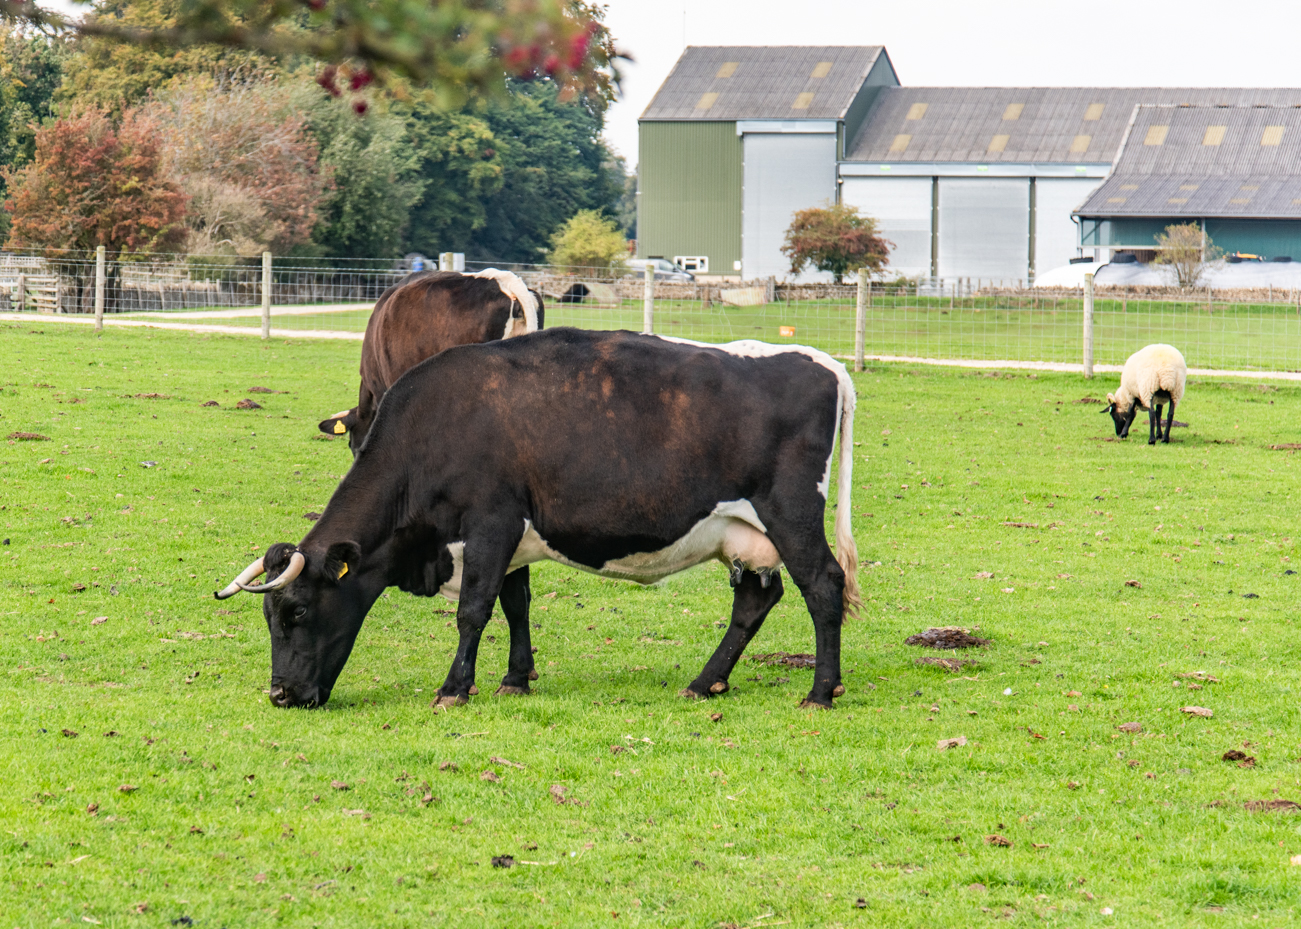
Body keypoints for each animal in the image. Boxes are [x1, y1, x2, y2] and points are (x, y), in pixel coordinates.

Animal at [217, 328, 861, 711]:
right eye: (271, 615)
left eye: (298, 611)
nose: (280, 694)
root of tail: (824, 362)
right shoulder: (513, 536)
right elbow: (515, 603)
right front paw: (514, 678)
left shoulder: (491, 522)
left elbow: (473, 610)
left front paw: (454, 689)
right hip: (745, 536)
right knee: (756, 600)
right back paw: (706, 683)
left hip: (791, 513)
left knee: (824, 585)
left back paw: (821, 691)